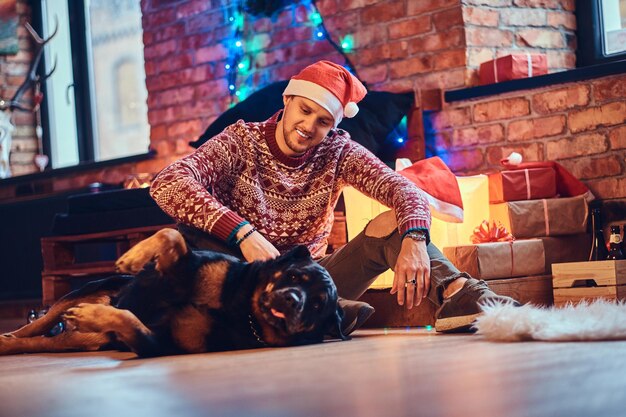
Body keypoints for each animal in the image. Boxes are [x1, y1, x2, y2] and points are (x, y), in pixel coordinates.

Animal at [0, 228, 346, 358]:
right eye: (294, 275)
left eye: (317, 306)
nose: (293, 300)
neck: (238, 307)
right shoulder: (183, 268)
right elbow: (172, 236)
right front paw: (135, 255)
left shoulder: (158, 343)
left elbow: (129, 320)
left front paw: (99, 315)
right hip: (86, 290)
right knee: (37, 325)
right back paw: (10, 336)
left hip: (82, 341)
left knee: (35, 343)